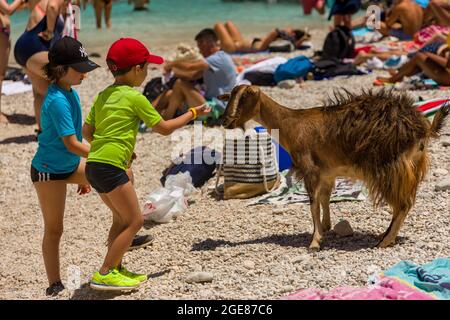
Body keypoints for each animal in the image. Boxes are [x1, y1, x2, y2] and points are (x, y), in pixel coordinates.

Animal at [217, 85, 446, 250]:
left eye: (243, 98)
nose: (225, 121)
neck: (292, 124)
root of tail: (422, 128)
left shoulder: (310, 170)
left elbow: (313, 204)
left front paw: (315, 242)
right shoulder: (327, 173)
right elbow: (324, 199)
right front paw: (326, 228)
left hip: (390, 168)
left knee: (403, 204)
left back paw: (385, 241)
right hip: (408, 169)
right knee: (403, 205)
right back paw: (385, 234)